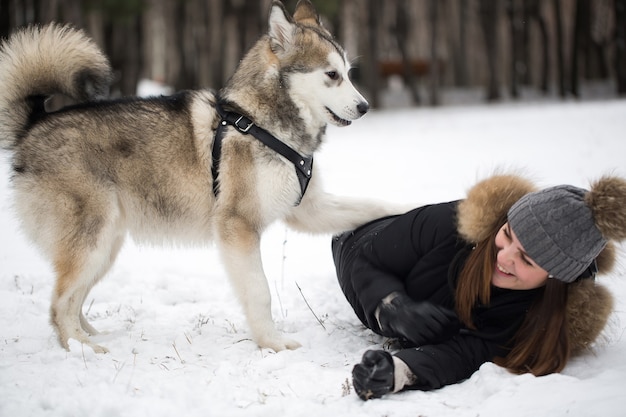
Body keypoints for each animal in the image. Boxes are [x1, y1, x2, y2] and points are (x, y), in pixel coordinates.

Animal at [0, 0, 400, 352]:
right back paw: (82, 348)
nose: (365, 106)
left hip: (105, 246)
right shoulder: (238, 226)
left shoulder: (309, 209)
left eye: (348, 73)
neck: (263, 124)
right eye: (332, 75)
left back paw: (92, 337)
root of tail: (34, 124)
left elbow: (373, 205)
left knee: (72, 299)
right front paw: (272, 343)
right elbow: (259, 291)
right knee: (58, 305)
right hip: (91, 241)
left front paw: (410, 208)